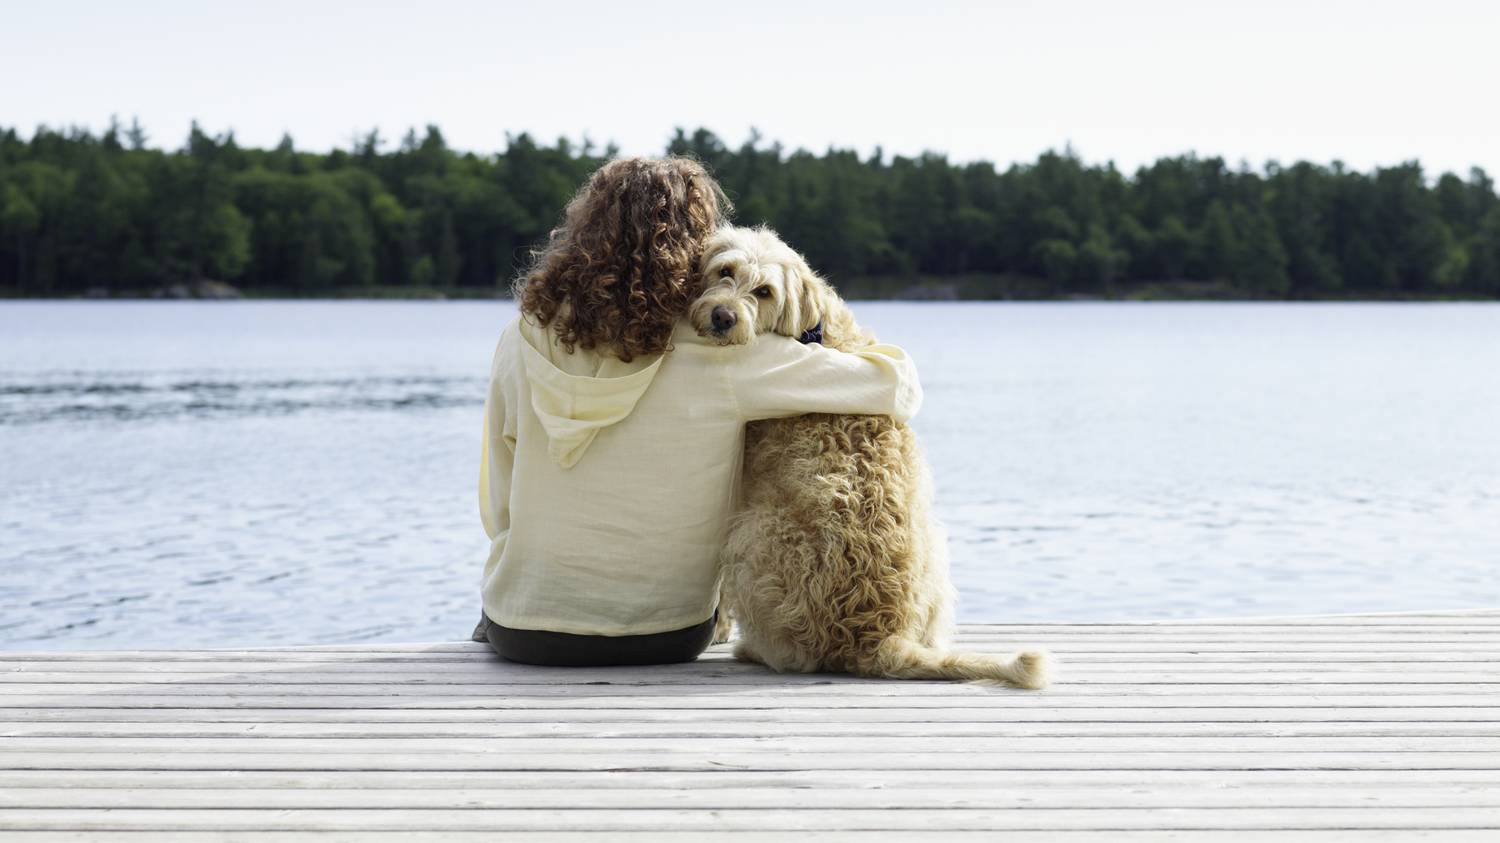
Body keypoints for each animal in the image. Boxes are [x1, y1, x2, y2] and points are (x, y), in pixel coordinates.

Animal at [693, 226, 1056, 687]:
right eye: (725, 270)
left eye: (764, 292)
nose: (723, 317)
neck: (812, 329)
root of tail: (876, 636)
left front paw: (721, 628)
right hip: (935, 546)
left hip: (752, 533)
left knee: (793, 654)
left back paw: (752, 650)